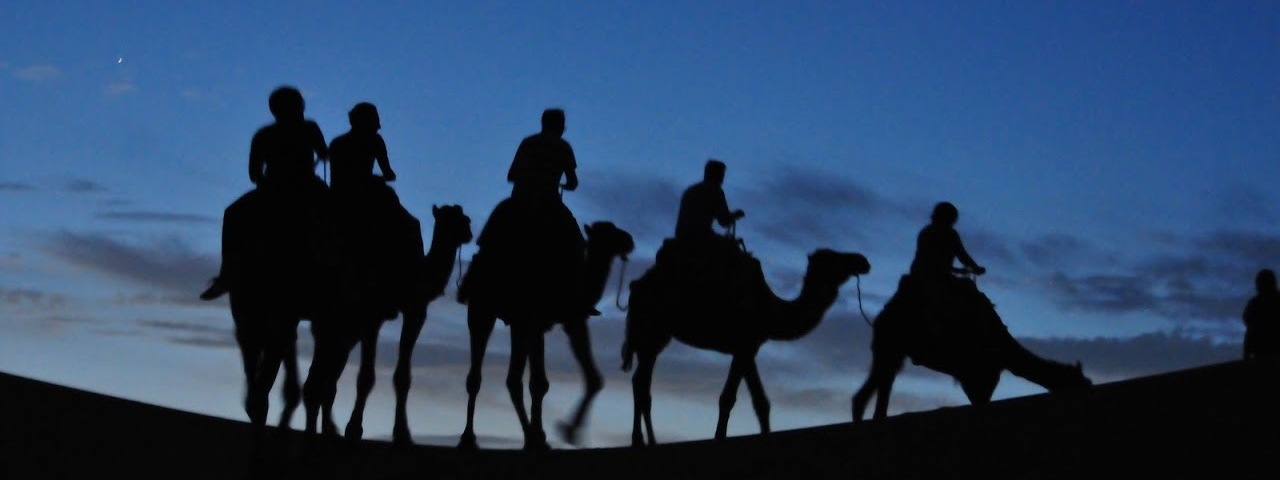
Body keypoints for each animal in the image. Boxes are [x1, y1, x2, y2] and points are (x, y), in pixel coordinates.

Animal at [455, 220, 634, 453]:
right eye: (608, 232)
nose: (629, 240)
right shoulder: (535, 318)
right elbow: (539, 382)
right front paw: (551, 434)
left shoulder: (570, 320)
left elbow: (592, 378)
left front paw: (567, 431)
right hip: (481, 309)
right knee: (478, 375)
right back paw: (468, 438)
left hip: (517, 323)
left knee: (514, 378)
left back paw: (530, 436)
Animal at [616, 244, 870, 448]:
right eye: (833, 258)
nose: (863, 261)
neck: (770, 309)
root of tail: (637, 287)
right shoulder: (744, 345)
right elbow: (730, 399)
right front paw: (719, 438)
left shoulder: (748, 347)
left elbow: (760, 402)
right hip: (651, 330)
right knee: (641, 384)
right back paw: (644, 440)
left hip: (656, 336)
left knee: (640, 382)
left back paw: (645, 440)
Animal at [849, 272, 1090, 422]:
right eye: (1077, 382)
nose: (1088, 385)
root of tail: (884, 313)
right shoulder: (979, 376)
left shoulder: (979, 377)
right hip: (890, 346)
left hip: (891, 351)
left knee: (878, 387)